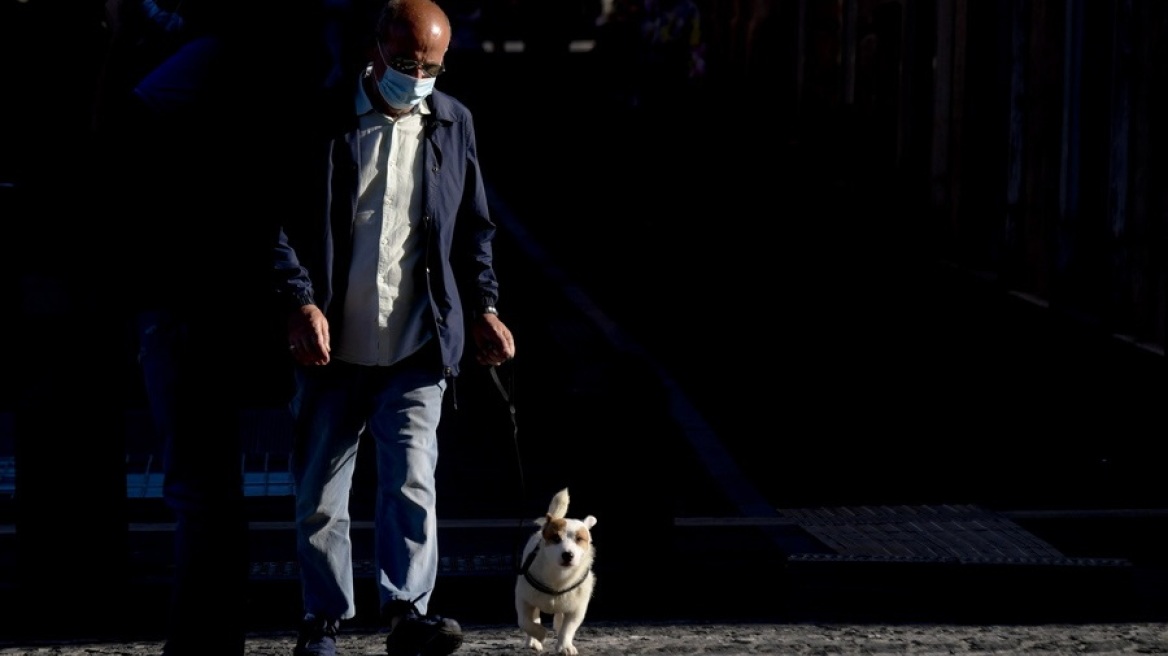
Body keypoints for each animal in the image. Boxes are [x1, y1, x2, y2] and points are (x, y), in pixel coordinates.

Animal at [516, 483, 598, 648]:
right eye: (555, 538)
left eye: (579, 539)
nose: (568, 554)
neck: (559, 577)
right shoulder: (523, 599)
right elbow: (525, 622)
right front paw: (540, 634)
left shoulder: (577, 608)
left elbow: (568, 627)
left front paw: (564, 646)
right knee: (534, 617)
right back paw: (532, 642)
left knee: (560, 619)